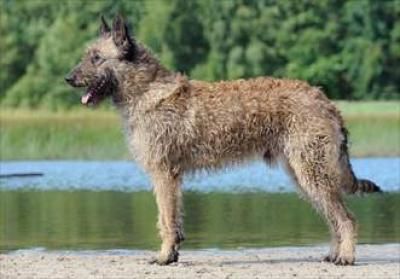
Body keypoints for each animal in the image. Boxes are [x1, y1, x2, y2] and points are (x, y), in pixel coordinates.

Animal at [65, 14, 382, 266]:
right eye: (87, 55)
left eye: (96, 58)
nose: (68, 78)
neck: (146, 91)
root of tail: (324, 99)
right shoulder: (171, 179)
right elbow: (173, 221)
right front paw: (173, 253)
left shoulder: (164, 174)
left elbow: (166, 220)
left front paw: (165, 256)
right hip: (305, 176)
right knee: (334, 219)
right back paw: (334, 254)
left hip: (312, 173)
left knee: (346, 219)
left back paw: (346, 257)